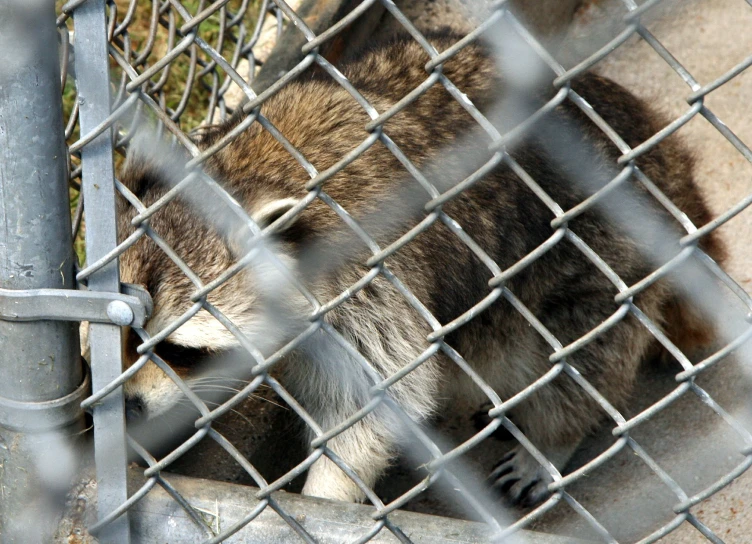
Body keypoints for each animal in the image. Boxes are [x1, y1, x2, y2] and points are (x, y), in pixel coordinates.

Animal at [117, 30, 724, 506]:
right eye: (128, 333)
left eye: (178, 349)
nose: (125, 407)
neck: (245, 173)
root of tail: (662, 158)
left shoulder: (371, 280)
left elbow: (379, 399)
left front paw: (329, 492)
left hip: (599, 256)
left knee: (578, 353)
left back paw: (552, 436)